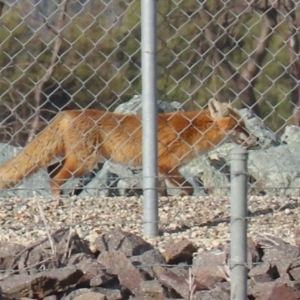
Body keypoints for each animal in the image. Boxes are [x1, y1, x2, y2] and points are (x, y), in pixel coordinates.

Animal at [0, 99, 256, 197]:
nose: (255, 140)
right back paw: (59, 200)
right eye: (239, 126)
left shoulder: (158, 170)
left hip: (76, 159)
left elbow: (162, 191)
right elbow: (188, 188)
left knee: (50, 171)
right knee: (54, 178)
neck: (195, 130)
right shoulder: (166, 164)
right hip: (85, 162)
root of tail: (67, 112)